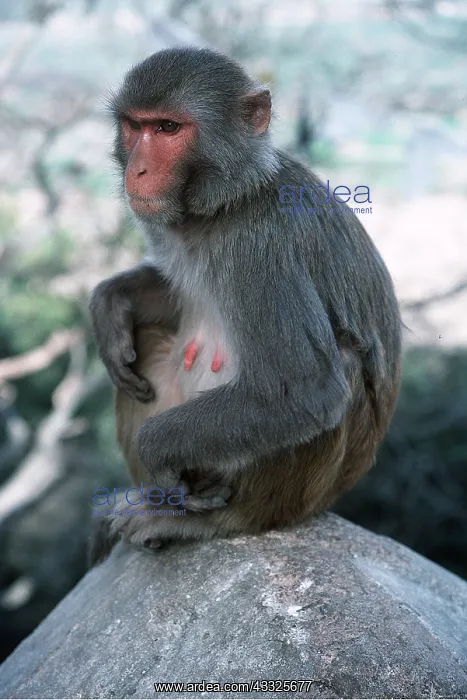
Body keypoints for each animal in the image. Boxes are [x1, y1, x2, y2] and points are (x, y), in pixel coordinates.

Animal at [88, 47, 401, 566]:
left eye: (169, 128)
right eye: (135, 126)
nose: (138, 170)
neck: (221, 205)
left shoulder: (262, 246)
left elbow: (303, 389)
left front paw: (155, 449)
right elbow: (173, 295)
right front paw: (110, 303)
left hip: (289, 499)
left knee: (340, 364)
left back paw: (196, 520)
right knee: (146, 343)